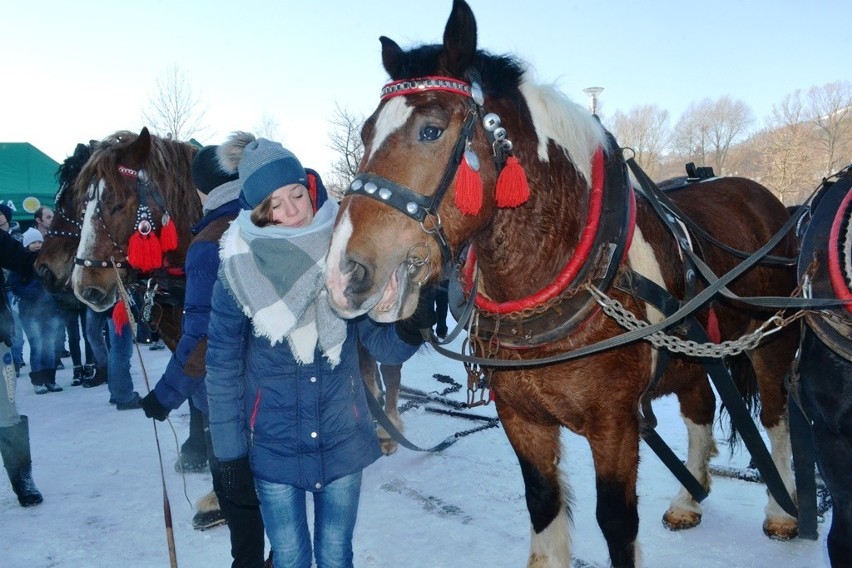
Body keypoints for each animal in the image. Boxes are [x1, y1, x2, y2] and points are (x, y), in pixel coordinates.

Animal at [322, 2, 804, 564]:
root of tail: (761, 197)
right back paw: (690, 497)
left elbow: (616, 521)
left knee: (775, 416)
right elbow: (542, 504)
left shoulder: (614, 422)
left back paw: (783, 510)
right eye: (365, 133)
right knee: (699, 405)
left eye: (431, 130)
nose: (342, 271)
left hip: (771, 341)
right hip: (691, 354)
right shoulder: (521, 417)